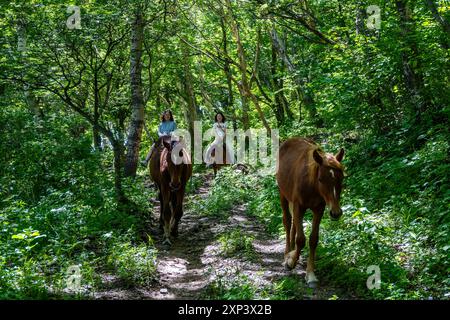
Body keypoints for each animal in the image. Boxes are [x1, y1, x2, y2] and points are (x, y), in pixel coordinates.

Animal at [274, 138, 344, 288]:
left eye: (341, 179)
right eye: (321, 179)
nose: (336, 213)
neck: (312, 185)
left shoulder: (319, 209)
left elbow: (313, 239)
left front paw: (310, 274)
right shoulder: (299, 206)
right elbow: (301, 239)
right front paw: (291, 261)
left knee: (294, 224)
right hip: (283, 194)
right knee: (287, 221)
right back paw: (287, 254)